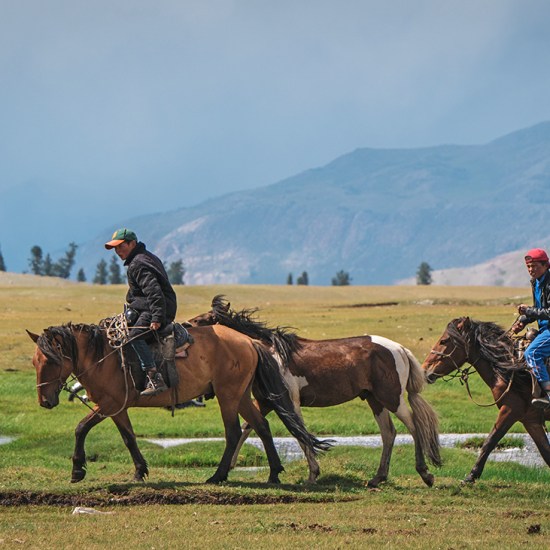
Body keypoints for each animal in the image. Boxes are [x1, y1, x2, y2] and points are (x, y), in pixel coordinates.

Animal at [27, 322, 331, 485]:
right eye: (34, 361)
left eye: (51, 361)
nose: (44, 401)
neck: (103, 356)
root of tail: (249, 341)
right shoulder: (118, 408)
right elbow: (129, 438)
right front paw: (140, 471)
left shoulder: (110, 404)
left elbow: (81, 428)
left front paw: (77, 470)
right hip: (241, 395)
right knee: (262, 426)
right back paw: (274, 473)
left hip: (228, 395)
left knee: (234, 432)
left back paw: (218, 476)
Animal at [185, 295, 441, 487]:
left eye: (205, 319)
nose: (185, 326)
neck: (271, 353)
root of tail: (399, 348)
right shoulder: (266, 402)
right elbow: (251, 427)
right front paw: (230, 466)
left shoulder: (290, 401)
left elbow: (300, 434)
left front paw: (312, 474)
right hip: (374, 399)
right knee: (389, 433)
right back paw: (377, 478)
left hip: (391, 398)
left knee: (413, 426)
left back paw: (425, 474)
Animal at [422, 316, 550, 483]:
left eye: (444, 341)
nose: (424, 370)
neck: (512, 369)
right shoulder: (531, 420)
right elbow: (546, 453)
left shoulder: (510, 410)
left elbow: (490, 441)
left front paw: (471, 476)